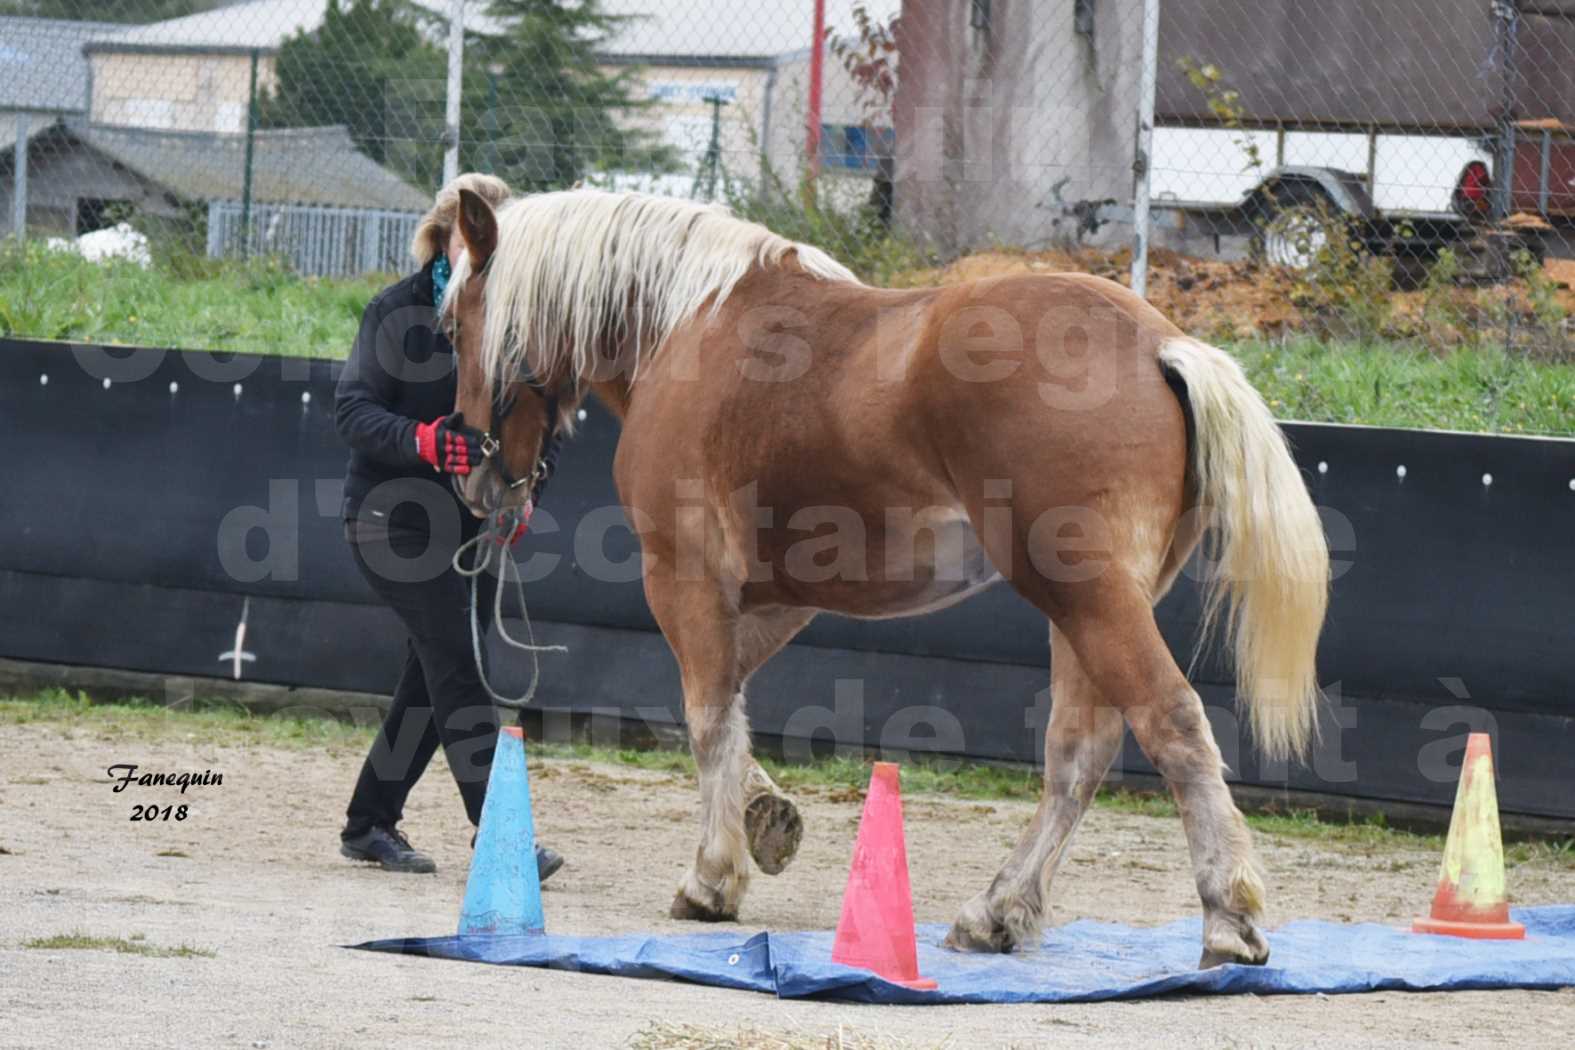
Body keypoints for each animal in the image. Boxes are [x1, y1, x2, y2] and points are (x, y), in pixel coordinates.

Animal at [444, 191, 1329, 969]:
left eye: (452, 324)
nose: (477, 480)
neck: (689, 325)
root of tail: (1161, 346)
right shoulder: (775, 599)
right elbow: (726, 705)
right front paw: (763, 817)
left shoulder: (685, 579)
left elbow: (706, 717)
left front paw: (712, 877)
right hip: (1086, 610)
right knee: (1079, 751)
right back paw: (997, 911)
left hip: (1087, 601)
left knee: (1170, 723)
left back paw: (1227, 920)